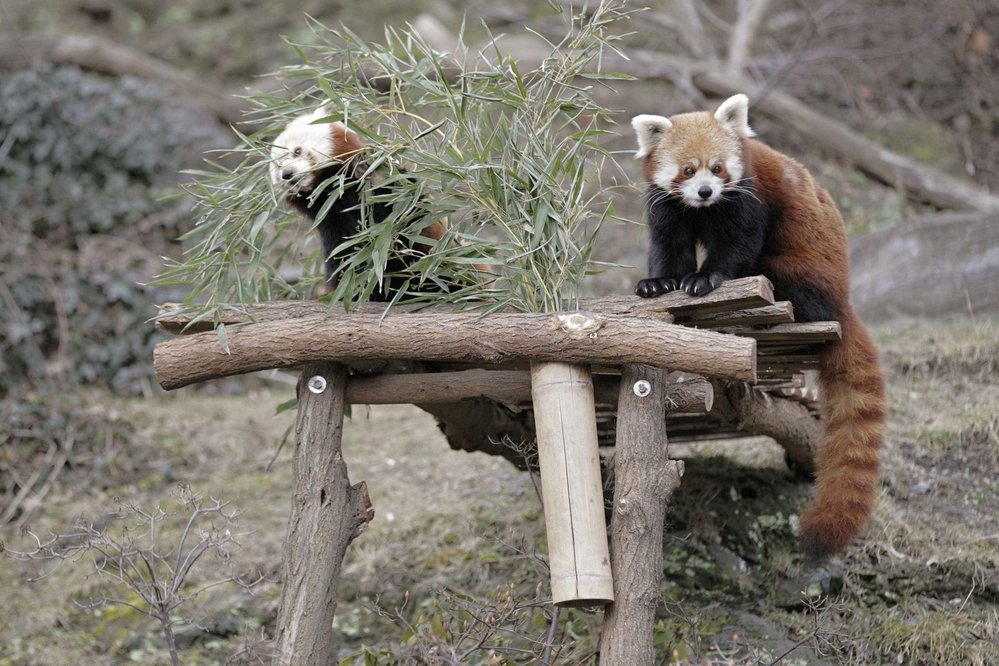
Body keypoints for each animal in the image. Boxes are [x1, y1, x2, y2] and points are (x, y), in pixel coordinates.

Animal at [270, 107, 450, 300]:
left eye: (296, 151)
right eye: (278, 166)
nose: (287, 174)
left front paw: (367, 169)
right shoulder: (332, 220)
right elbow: (344, 258)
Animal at [628, 92, 888, 560]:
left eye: (717, 168)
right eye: (688, 171)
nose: (706, 191)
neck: (703, 210)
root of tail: (843, 301)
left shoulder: (748, 199)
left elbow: (738, 245)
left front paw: (706, 279)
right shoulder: (667, 206)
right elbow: (668, 246)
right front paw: (658, 283)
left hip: (807, 273)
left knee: (776, 270)